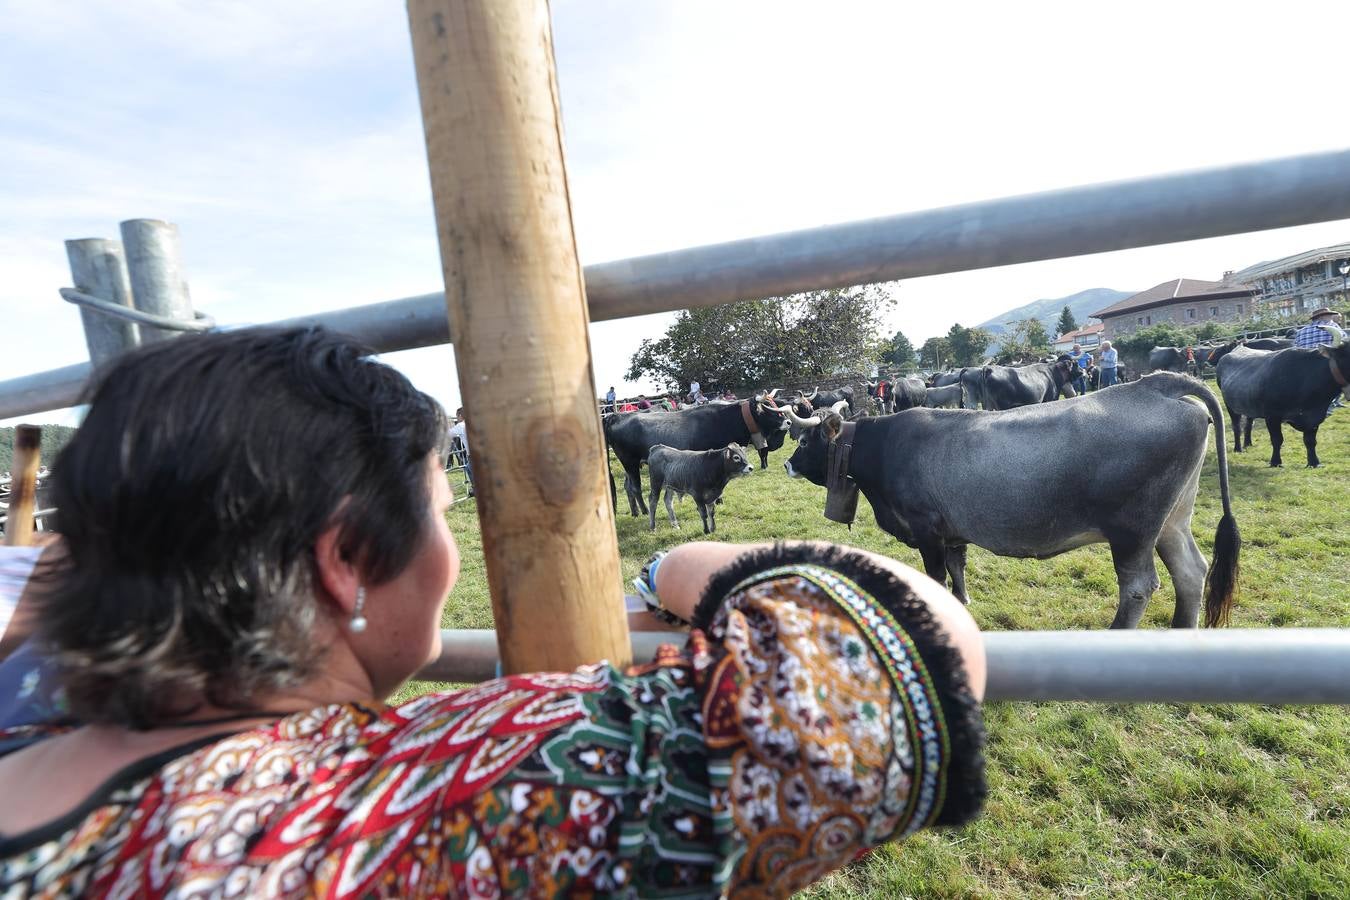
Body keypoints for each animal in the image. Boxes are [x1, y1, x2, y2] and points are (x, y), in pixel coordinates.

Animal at [604, 391, 788, 518]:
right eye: (767, 407)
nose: (787, 421)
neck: (725, 420)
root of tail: (615, 416)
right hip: (630, 462)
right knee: (635, 487)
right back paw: (645, 511)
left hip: (631, 465)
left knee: (628, 486)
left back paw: (635, 512)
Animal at [783, 377, 1236, 631]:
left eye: (804, 440)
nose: (787, 464)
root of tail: (1152, 385)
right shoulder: (951, 531)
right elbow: (958, 569)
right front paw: (962, 604)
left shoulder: (926, 528)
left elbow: (936, 576)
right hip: (1172, 520)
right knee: (1191, 571)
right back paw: (1181, 628)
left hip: (1133, 530)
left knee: (1140, 586)